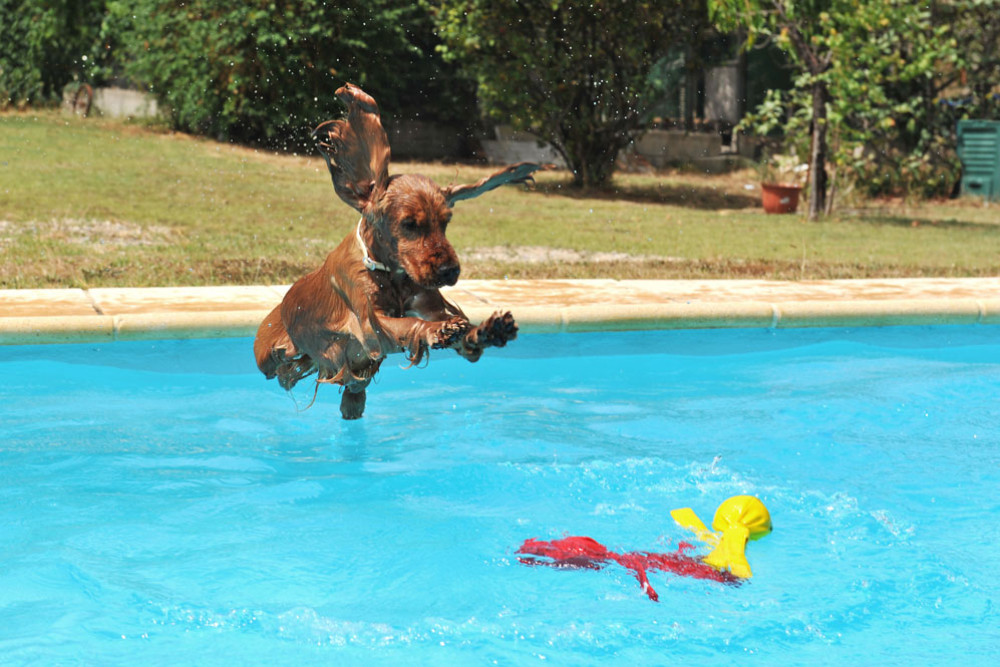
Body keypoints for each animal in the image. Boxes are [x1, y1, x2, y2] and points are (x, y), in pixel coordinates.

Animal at [250, 83, 548, 418]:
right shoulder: (371, 327)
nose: (451, 271)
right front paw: (438, 330)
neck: (390, 274)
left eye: (446, 222)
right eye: (409, 224)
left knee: (351, 390)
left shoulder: (427, 303)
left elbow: (463, 336)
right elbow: (408, 325)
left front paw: (488, 329)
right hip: (267, 353)